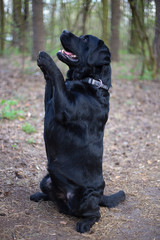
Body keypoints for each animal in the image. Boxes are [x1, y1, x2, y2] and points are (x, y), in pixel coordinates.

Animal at [29, 31, 125, 233]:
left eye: (85, 39)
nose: (64, 31)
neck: (92, 83)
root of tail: (100, 195)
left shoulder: (65, 108)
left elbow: (57, 75)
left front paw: (46, 59)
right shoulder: (50, 103)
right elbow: (51, 82)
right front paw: (43, 64)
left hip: (84, 198)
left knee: (95, 214)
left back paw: (84, 224)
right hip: (45, 180)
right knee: (54, 198)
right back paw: (40, 196)